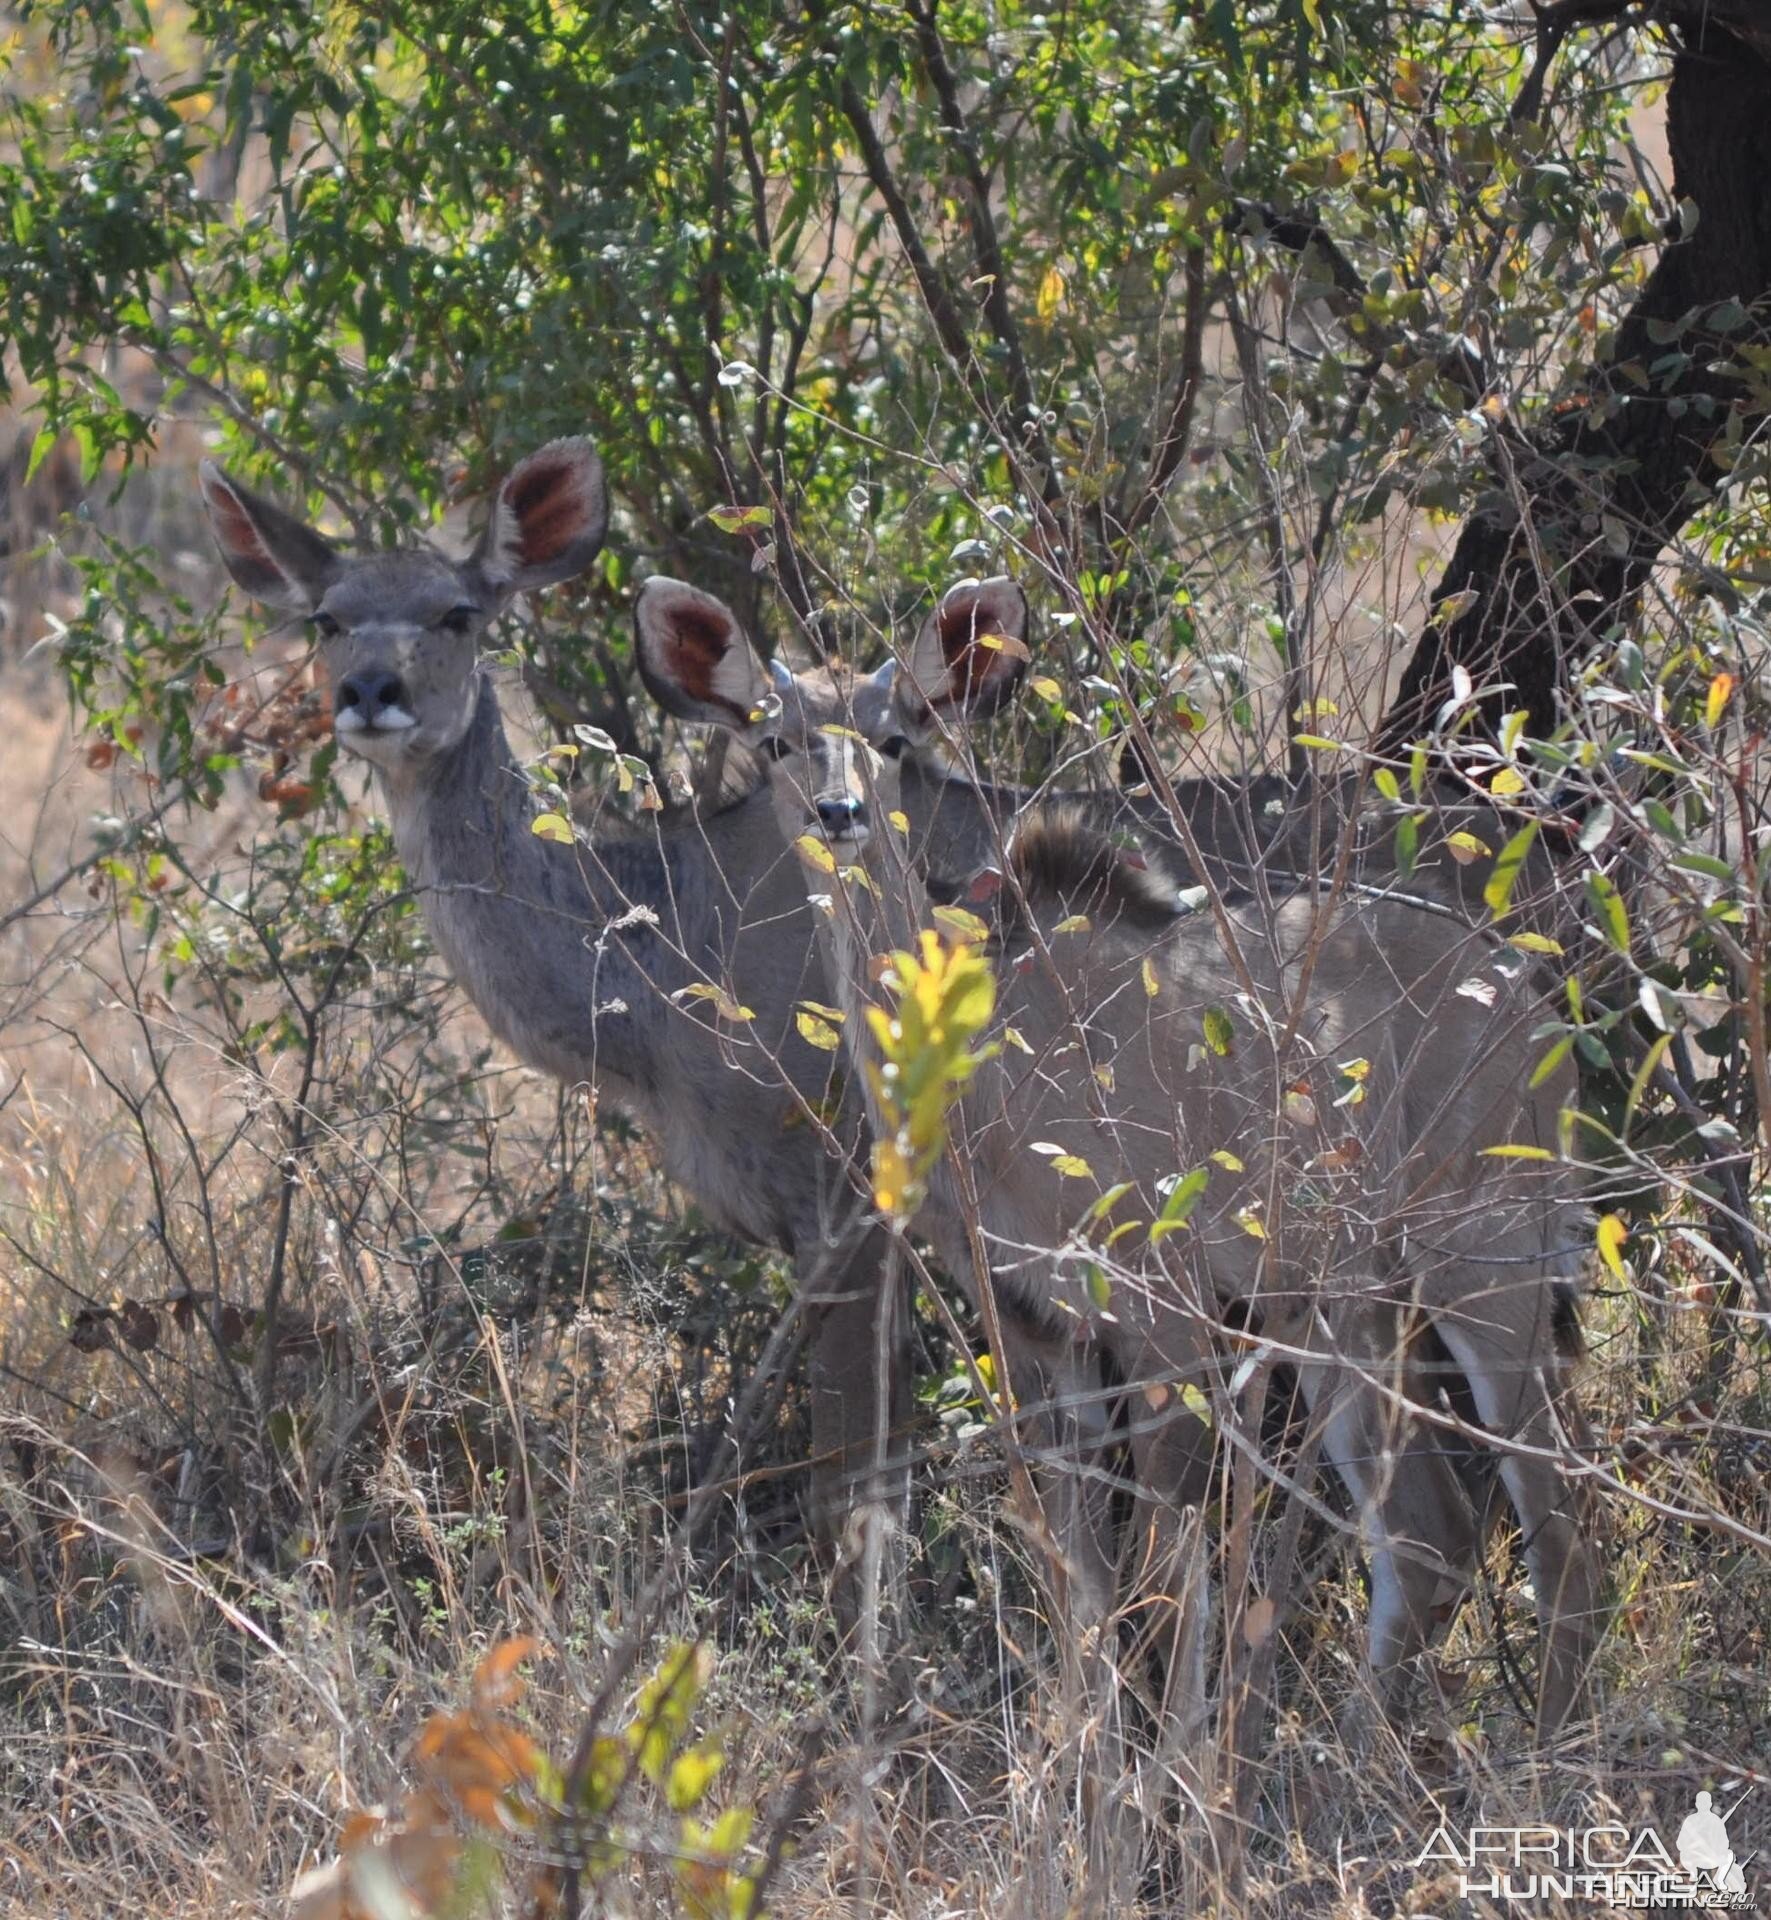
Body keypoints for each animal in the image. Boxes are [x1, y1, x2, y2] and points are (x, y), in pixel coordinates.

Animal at [633, 572, 1598, 1743]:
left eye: (896, 737)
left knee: (1553, 1524)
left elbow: (1169, 1571)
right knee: (1431, 1532)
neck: (997, 1076)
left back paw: (1543, 1751)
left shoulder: (1162, 1311)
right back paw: (1358, 1757)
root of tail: (1532, 1001)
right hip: (1341, 1305)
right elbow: (1081, 1583)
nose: (838, 815)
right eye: (776, 740)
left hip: (1484, 1266)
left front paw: (1166, 1777)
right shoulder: (1037, 1332)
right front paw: (1091, 1769)